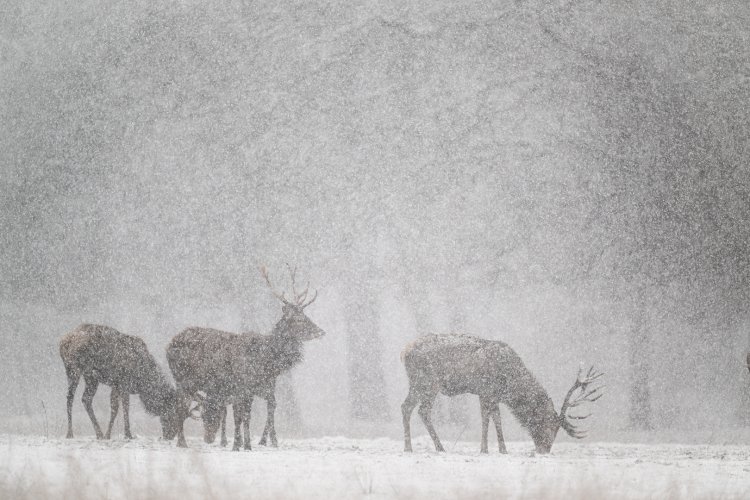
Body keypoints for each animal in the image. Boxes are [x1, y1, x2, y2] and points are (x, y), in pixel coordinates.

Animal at [167, 266, 324, 450]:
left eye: (306, 315)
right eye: (298, 319)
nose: (321, 331)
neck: (265, 358)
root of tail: (168, 345)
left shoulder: (254, 388)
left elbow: (249, 414)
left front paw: (248, 444)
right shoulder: (242, 385)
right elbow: (242, 416)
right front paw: (241, 445)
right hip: (181, 379)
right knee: (180, 406)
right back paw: (182, 442)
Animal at [400, 334, 604, 456]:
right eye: (551, 426)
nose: (544, 450)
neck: (510, 383)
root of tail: (404, 352)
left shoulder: (492, 395)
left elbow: (494, 418)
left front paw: (500, 449)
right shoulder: (486, 390)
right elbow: (487, 419)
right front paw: (486, 449)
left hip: (418, 384)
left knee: (406, 407)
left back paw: (409, 447)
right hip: (427, 382)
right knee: (421, 410)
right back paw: (438, 447)